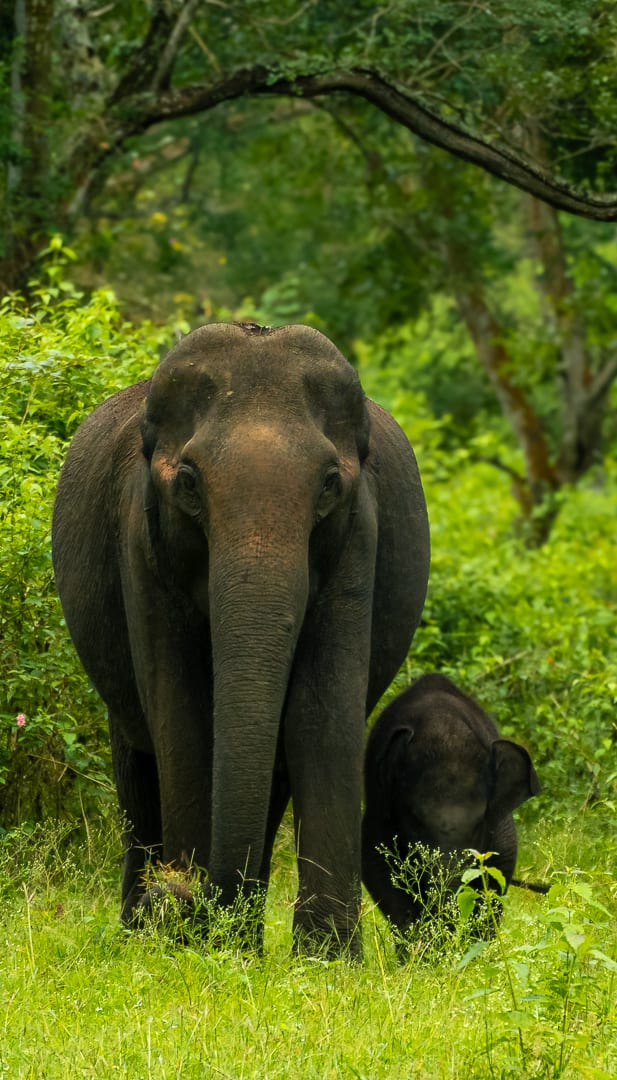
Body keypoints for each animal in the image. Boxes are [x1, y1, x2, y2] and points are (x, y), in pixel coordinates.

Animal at [52, 322, 430, 958]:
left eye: (329, 485)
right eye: (187, 482)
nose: (180, 894)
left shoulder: (360, 537)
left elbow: (321, 714)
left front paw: (327, 959)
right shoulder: (140, 539)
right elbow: (180, 714)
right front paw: (187, 943)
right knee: (137, 759)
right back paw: (149, 931)